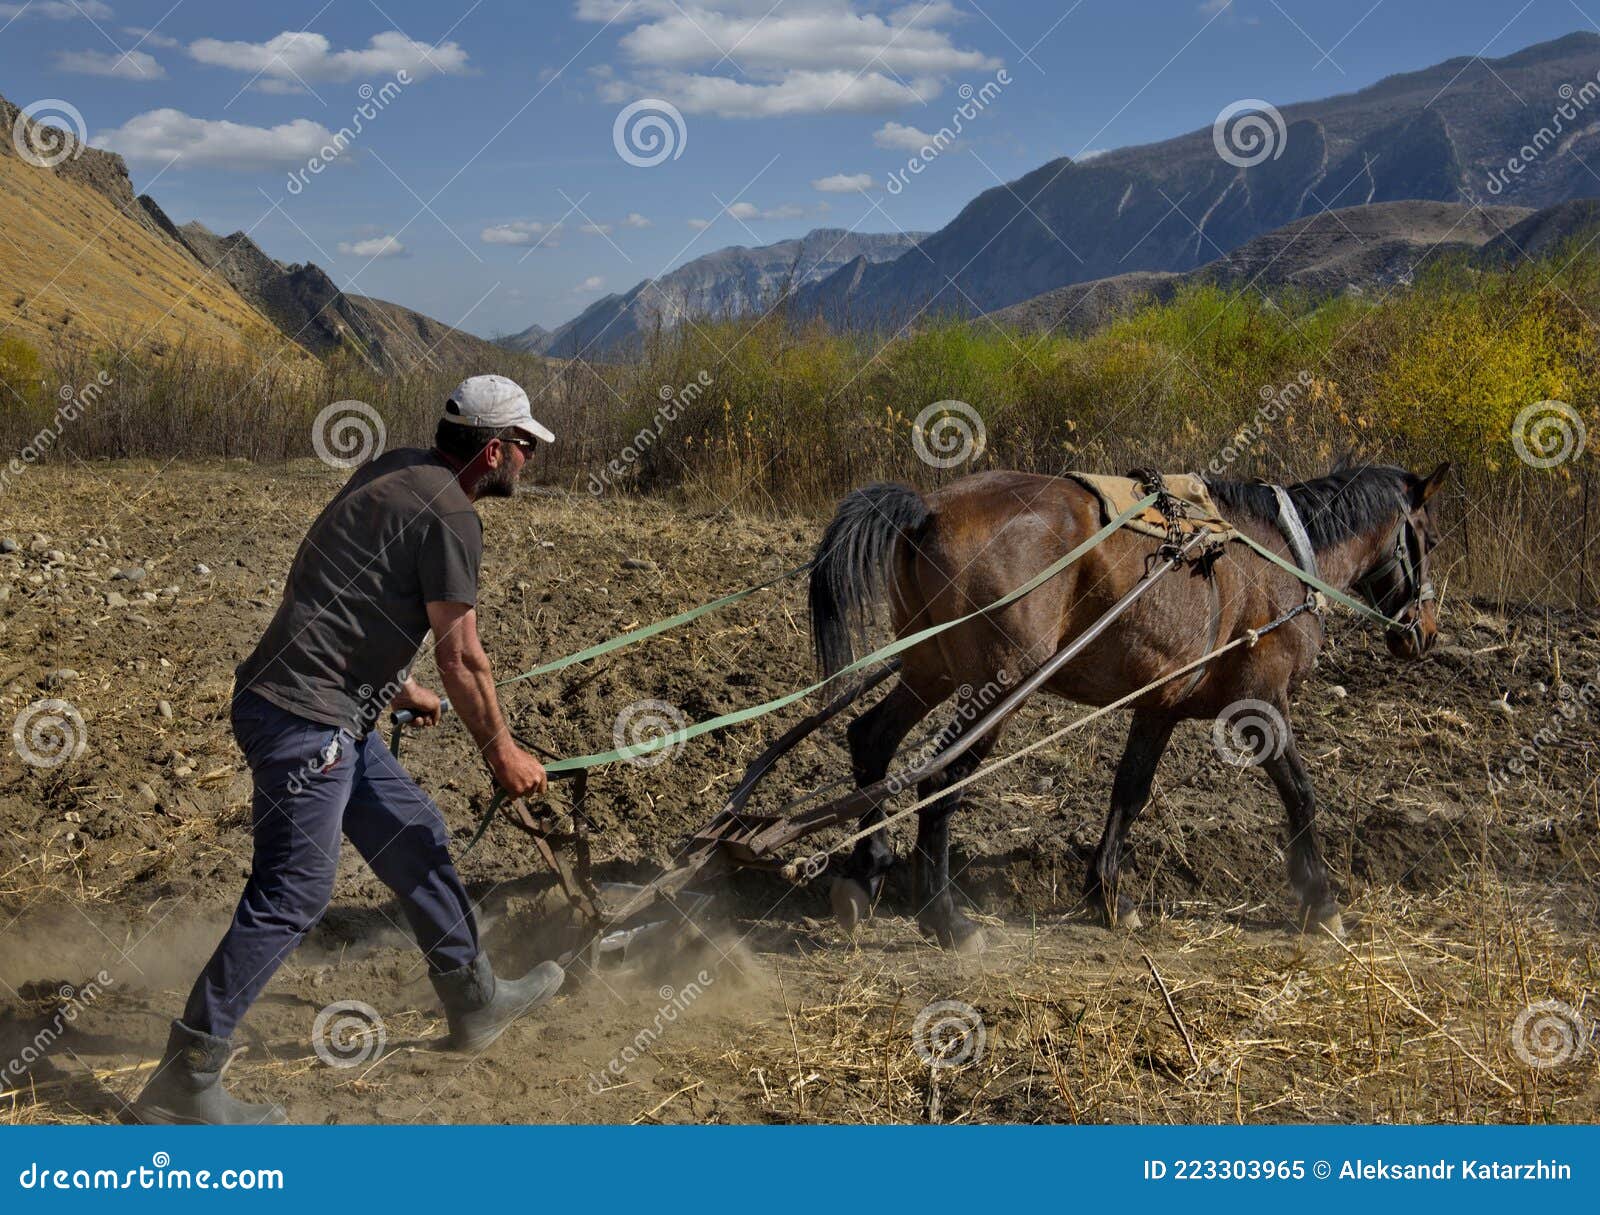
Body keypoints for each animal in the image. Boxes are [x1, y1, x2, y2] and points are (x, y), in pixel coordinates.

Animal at [806, 457, 1446, 947]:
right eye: (1429, 539)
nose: (1426, 632)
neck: (1280, 554)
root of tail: (927, 510)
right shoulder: (1261, 703)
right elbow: (1301, 795)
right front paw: (1321, 900)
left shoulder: (1159, 707)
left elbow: (1130, 793)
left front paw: (1108, 894)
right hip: (998, 689)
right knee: (941, 782)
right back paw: (946, 919)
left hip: (929, 670)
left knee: (871, 740)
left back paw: (868, 870)